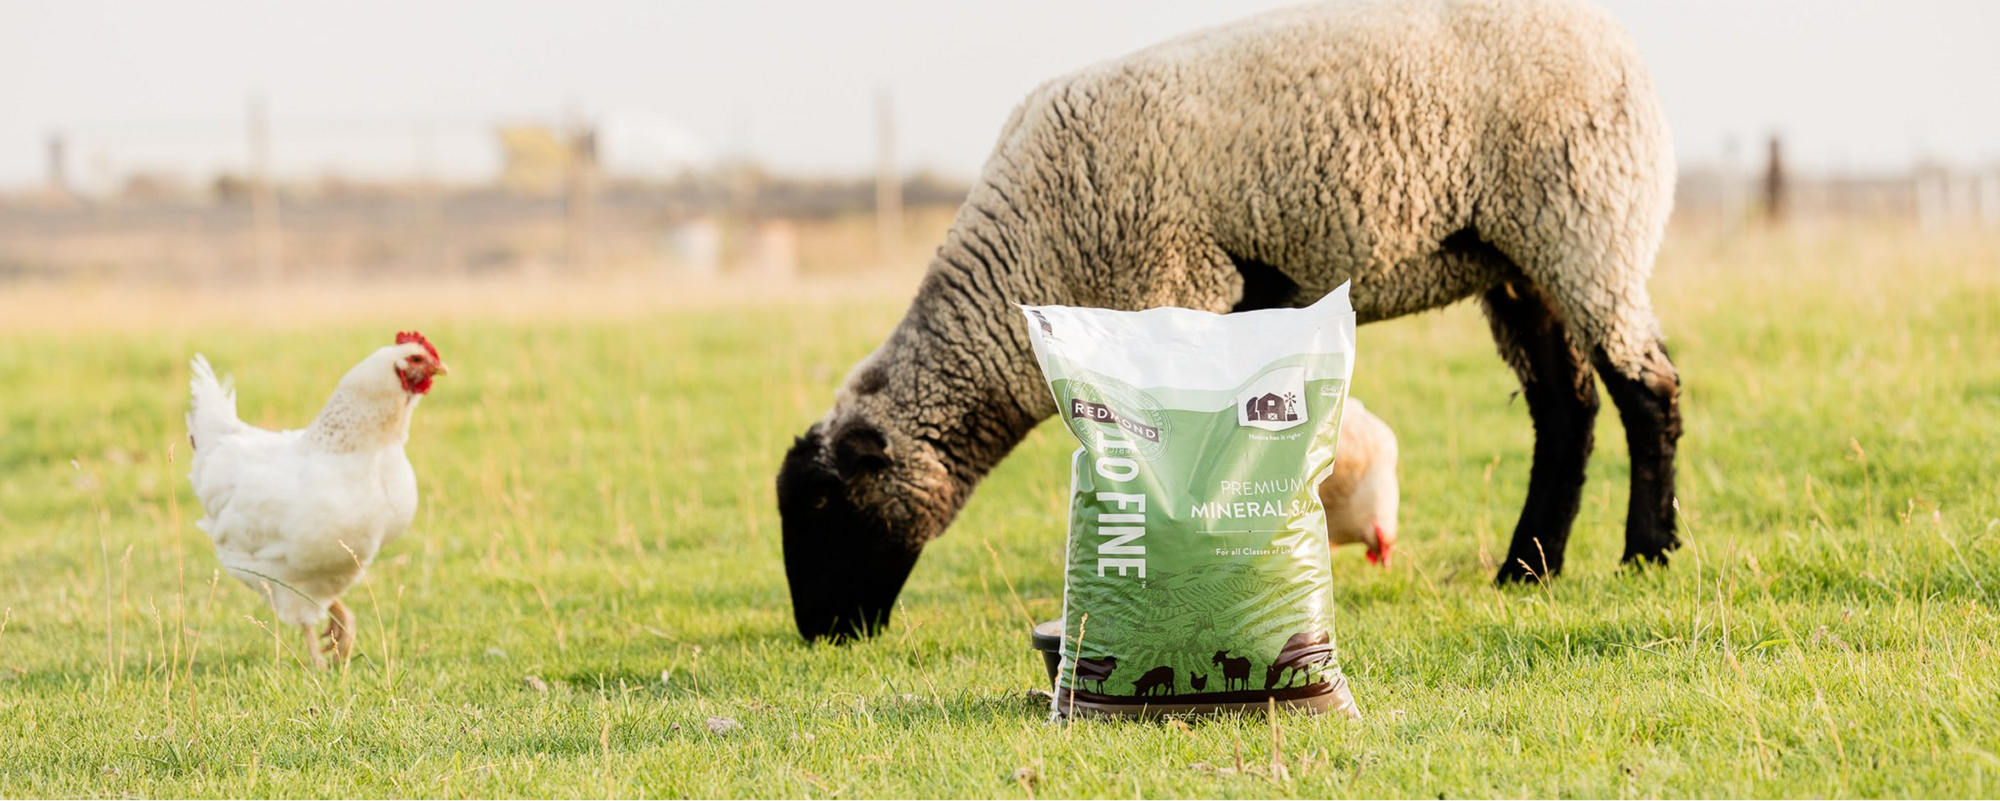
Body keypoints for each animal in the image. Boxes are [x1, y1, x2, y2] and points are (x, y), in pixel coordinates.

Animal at [777, 0, 1681, 643]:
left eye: (822, 503)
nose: (821, 633)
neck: (1023, 270)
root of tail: (1619, 41)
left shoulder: (1174, 284)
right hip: (1518, 260)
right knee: (1566, 409)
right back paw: (1529, 567)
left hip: (1586, 218)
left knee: (1647, 389)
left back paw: (1648, 550)